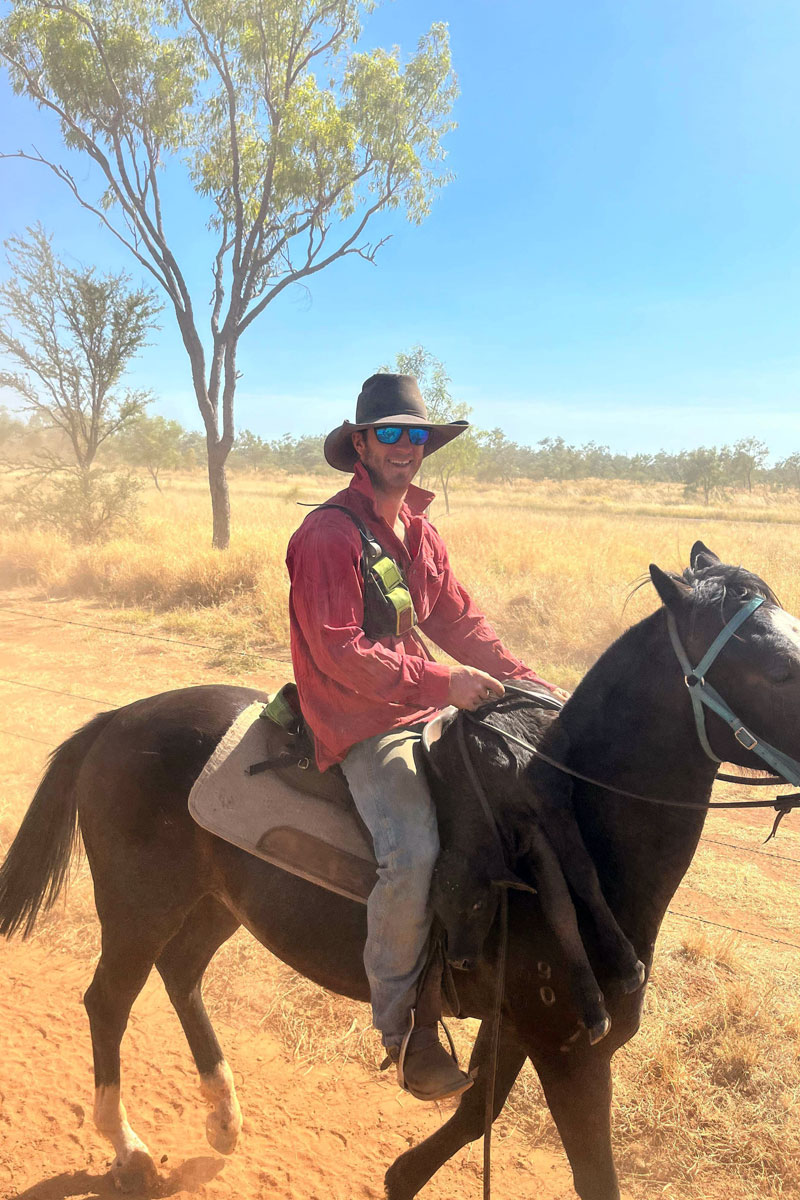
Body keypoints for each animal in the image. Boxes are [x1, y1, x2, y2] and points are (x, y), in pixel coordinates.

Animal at [1, 547, 800, 1200]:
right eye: (781, 669)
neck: (573, 825)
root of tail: (117, 720)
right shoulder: (570, 1049)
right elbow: (588, 1174)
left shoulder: (519, 1028)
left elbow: (474, 1115)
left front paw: (400, 1175)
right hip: (137, 907)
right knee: (108, 1001)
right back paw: (129, 1151)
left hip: (215, 905)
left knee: (182, 975)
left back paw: (223, 1119)